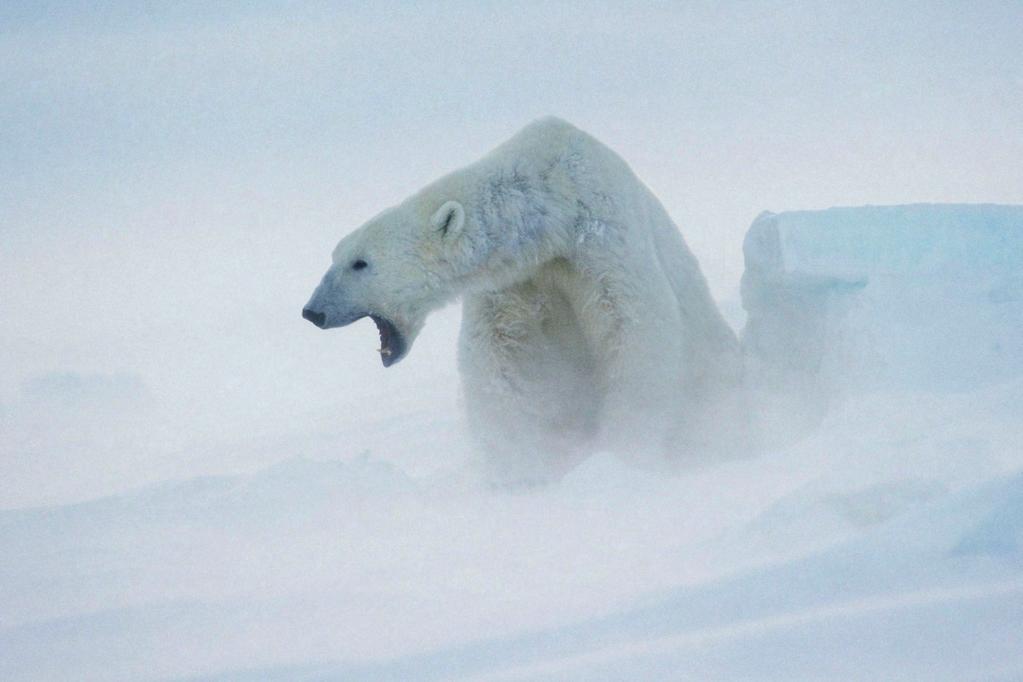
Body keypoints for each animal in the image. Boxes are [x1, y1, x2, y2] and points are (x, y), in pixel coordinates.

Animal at [302, 116, 744, 480]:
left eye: (360, 263)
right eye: (335, 255)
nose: (312, 311)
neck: (552, 209)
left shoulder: (603, 243)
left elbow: (634, 334)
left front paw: (624, 452)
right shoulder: (515, 281)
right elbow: (500, 361)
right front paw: (521, 464)